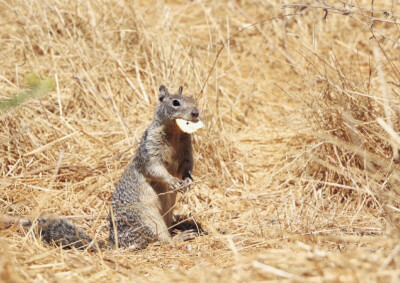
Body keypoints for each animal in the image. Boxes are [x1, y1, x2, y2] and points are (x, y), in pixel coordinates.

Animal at [12, 85, 202, 252]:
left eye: (193, 99)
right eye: (175, 102)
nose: (196, 112)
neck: (175, 133)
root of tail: (114, 242)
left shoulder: (186, 152)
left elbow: (187, 167)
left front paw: (188, 181)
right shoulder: (149, 150)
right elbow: (155, 168)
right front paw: (173, 181)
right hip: (148, 220)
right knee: (159, 238)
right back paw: (179, 237)